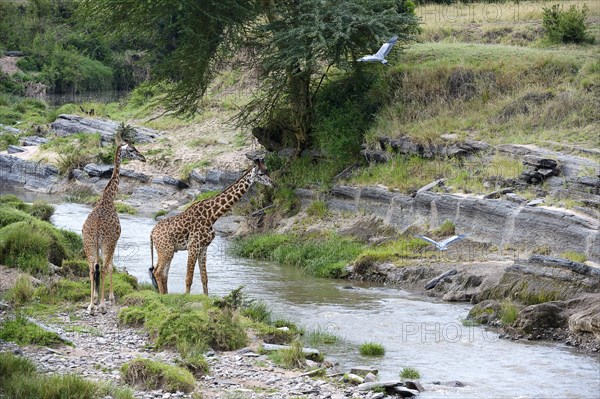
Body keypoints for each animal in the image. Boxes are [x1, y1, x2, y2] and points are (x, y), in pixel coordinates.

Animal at [150, 158, 274, 296]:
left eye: (267, 170)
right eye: (261, 174)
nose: (273, 184)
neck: (212, 216)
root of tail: (152, 233)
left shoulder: (203, 248)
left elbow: (204, 278)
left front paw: (206, 297)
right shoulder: (193, 246)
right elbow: (189, 277)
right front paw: (186, 297)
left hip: (169, 250)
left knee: (162, 273)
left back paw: (165, 294)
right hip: (165, 250)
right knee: (157, 271)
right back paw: (162, 296)